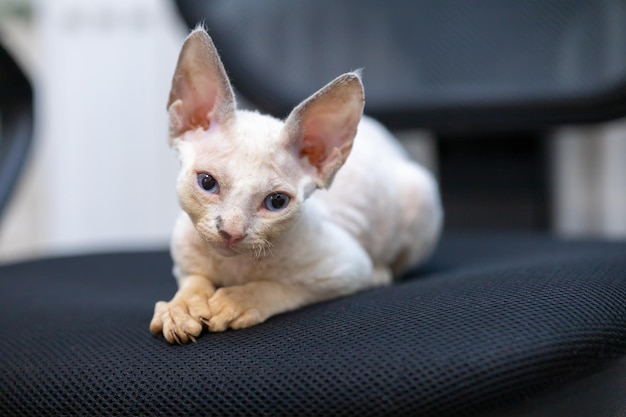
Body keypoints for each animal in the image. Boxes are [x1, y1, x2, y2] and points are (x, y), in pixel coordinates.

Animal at [149, 27, 442, 342]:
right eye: (207, 182)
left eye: (276, 202)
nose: (231, 233)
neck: (234, 265)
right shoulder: (184, 259)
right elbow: (194, 279)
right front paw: (181, 309)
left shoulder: (345, 266)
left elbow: (280, 287)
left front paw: (235, 301)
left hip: (419, 192)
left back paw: (381, 273)